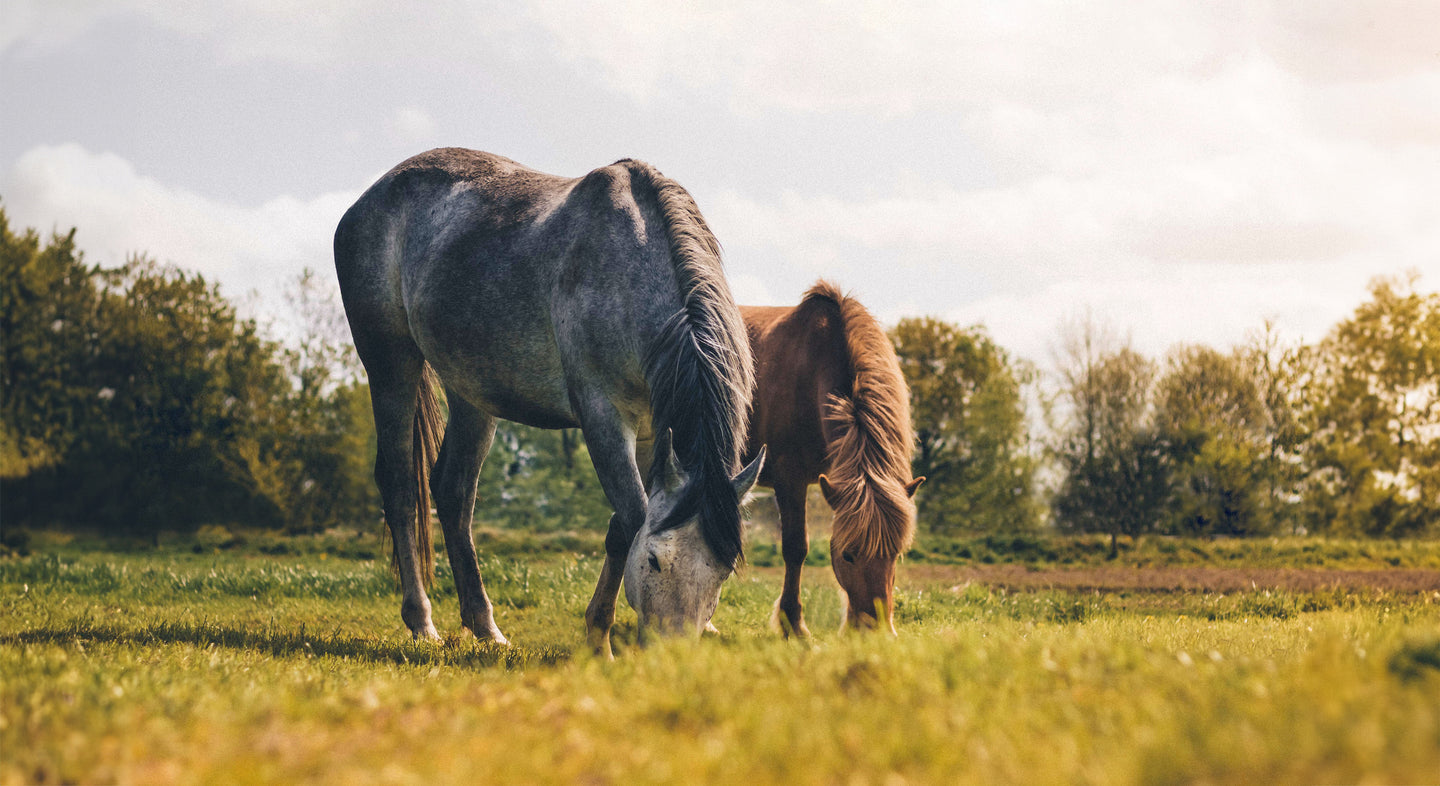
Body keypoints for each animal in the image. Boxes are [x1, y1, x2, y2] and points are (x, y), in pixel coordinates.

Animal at [334, 149, 766, 650]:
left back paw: (485, 627)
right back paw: (422, 622)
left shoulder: (651, 432)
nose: (671, 654)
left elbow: (622, 526)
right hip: (390, 363)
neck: (630, 267)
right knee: (402, 485)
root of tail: (368, 200)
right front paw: (599, 638)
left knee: (453, 492)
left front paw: (597, 630)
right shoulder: (602, 417)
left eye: (723, 572)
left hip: (471, 392)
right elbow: (632, 518)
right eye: (656, 561)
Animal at [743, 277, 921, 633]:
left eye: (895, 554)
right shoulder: (790, 480)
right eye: (848, 554)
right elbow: (796, 548)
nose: (875, 631)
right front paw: (793, 625)